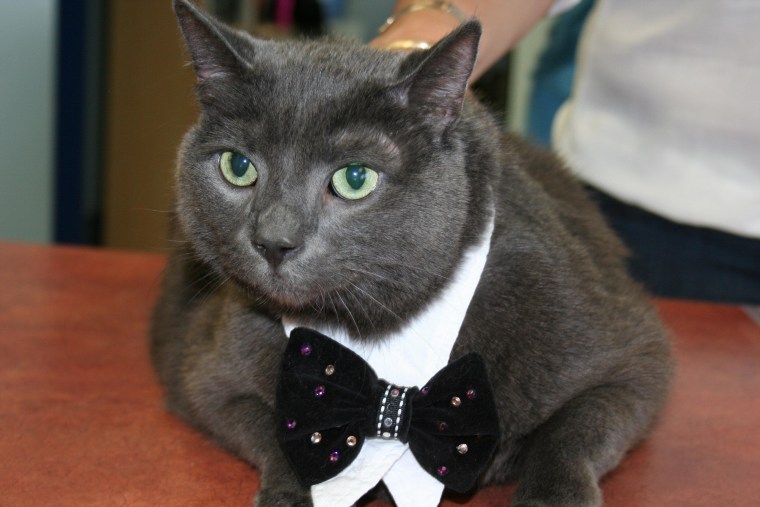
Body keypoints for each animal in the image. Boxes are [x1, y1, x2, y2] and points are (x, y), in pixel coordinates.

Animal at [151, 1, 672, 506]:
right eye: (237, 166)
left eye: (354, 178)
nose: (274, 241)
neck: (373, 328)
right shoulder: (207, 375)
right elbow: (268, 429)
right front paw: (288, 492)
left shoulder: (630, 359)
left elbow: (572, 433)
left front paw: (552, 497)